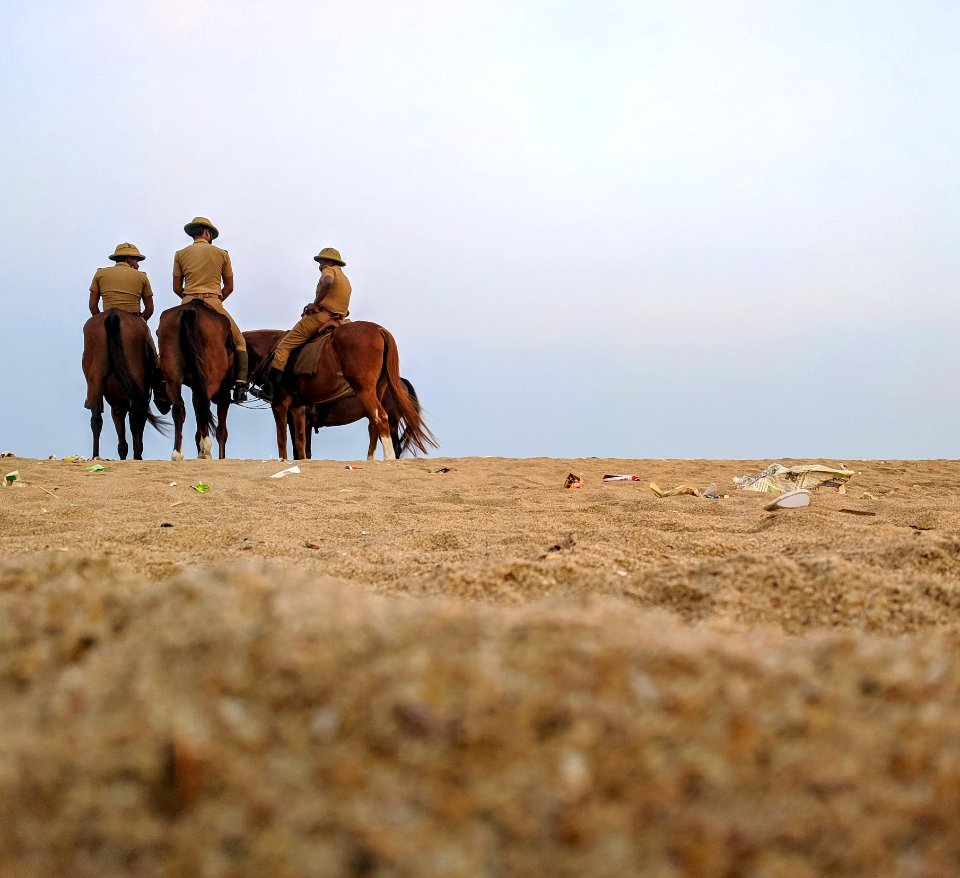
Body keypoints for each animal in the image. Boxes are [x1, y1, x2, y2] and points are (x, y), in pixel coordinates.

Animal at [81, 310, 168, 460]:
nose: (165, 408)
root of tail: (112, 315)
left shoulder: (117, 406)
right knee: (135, 417)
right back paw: (137, 456)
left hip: (96, 378)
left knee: (96, 419)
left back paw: (95, 455)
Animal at [158, 300, 234, 460]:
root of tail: (190, 310)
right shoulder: (223, 392)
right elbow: (221, 429)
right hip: (211, 378)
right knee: (204, 403)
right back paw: (206, 449)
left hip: (172, 376)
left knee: (179, 407)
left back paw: (177, 453)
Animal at [244, 324, 436, 460]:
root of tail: (380, 331)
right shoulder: (297, 411)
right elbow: (300, 445)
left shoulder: (281, 406)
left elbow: (284, 440)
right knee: (374, 426)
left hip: (383, 412)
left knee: (385, 428)